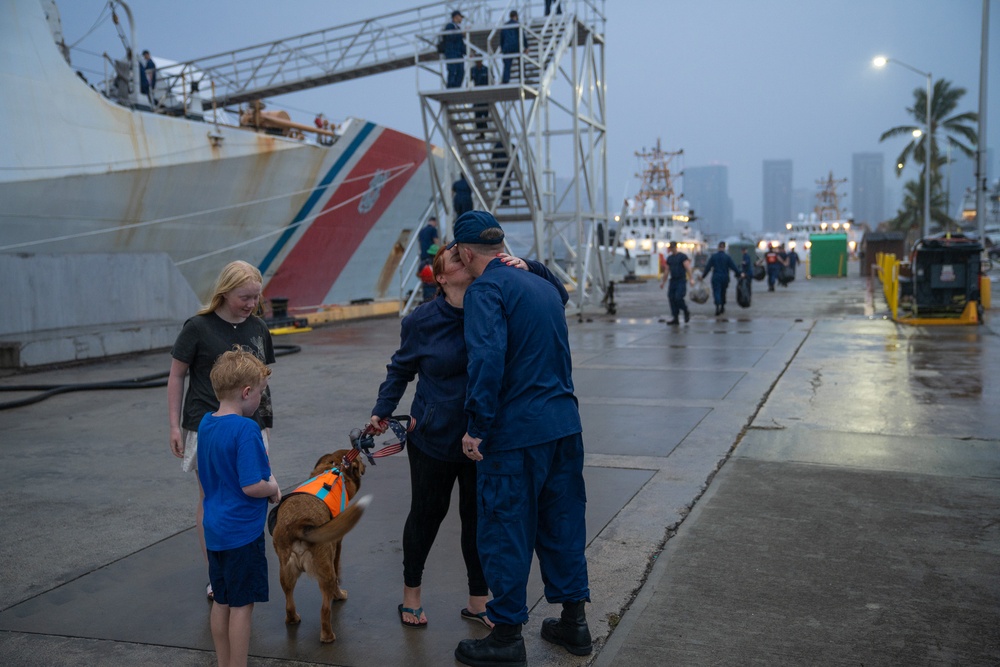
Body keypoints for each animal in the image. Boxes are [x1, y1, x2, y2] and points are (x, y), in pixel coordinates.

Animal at [270, 452, 372, 644]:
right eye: (361, 461)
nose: (366, 466)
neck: (334, 469)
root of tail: (299, 526)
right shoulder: (337, 543)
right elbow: (338, 567)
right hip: (325, 570)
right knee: (325, 608)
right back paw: (329, 633)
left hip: (285, 571)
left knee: (289, 602)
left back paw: (293, 618)